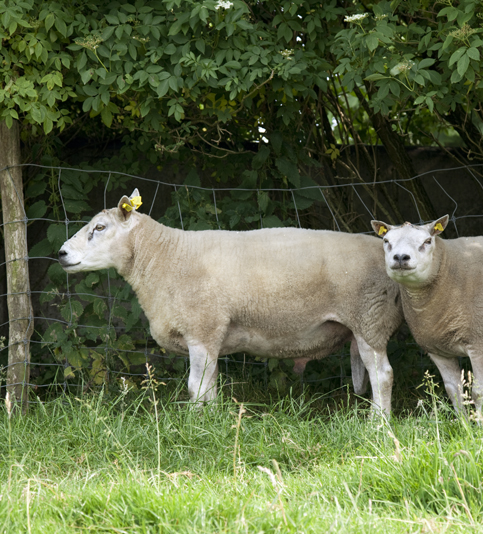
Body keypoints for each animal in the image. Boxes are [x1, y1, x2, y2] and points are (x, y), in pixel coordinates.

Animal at [58, 192, 402, 414]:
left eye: (99, 228)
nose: (61, 254)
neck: (166, 256)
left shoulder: (202, 328)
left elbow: (195, 387)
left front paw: (194, 425)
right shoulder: (210, 337)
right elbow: (209, 386)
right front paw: (211, 421)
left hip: (369, 318)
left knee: (383, 374)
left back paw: (378, 423)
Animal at [374, 216, 483, 420]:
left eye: (427, 241)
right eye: (386, 241)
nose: (401, 257)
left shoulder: (477, 343)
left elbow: (478, 392)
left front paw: (478, 423)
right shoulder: (437, 349)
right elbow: (453, 391)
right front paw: (463, 424)